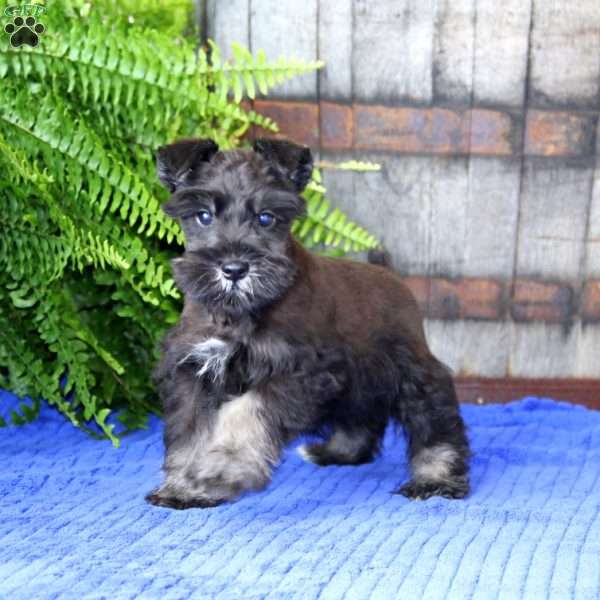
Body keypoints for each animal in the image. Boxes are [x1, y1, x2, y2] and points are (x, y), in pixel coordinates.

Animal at [145, 138, 468, 508]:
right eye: (203, 215)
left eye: (266, 217)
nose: (234, 269)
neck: (240, 313)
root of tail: (393, 277)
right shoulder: (194, 370)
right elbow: (188, 434)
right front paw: (184, 486)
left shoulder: (300, 372)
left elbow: (243, 415)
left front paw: (218, 472)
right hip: (358, 381)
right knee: (361, 417)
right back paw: (340, 451)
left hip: (410, 369)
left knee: (434, 419)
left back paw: (436, 477)